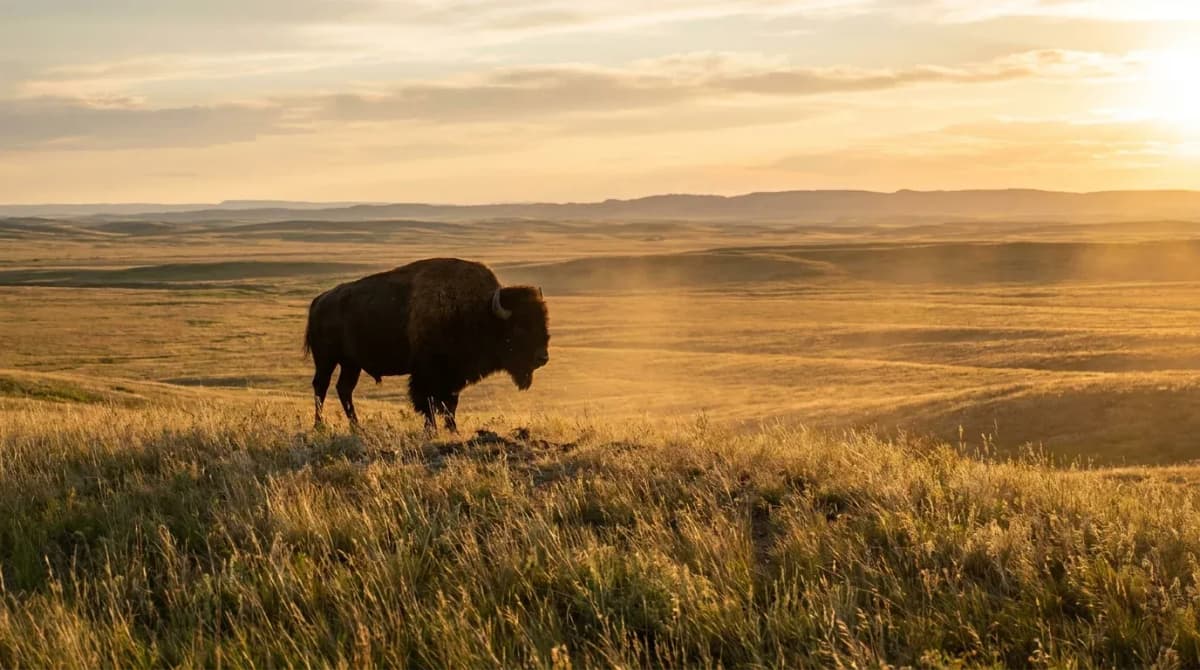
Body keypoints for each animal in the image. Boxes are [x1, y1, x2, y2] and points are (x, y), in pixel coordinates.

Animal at [303, 258, 550, 431]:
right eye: (519, 327)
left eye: (543, 322)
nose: (542, 358)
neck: (479, 311)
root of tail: (320, 300)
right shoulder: (427, 374)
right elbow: (429, 403)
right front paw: (432, 430)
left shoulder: (453, 376)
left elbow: (450, 403)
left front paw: (452, 430)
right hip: (326, 360)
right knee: (321, 386)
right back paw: (320, 425)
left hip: (351, 364)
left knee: (344, 389)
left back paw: (357, 427)